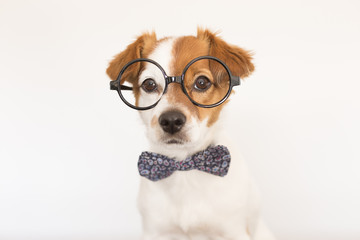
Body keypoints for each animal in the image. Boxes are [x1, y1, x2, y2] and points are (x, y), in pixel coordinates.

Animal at [107, 28, 276, 240]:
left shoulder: (233, 230)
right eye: (149, 84)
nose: (171, 120)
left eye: (202, 82)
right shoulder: (154, 231)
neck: (184, 168)